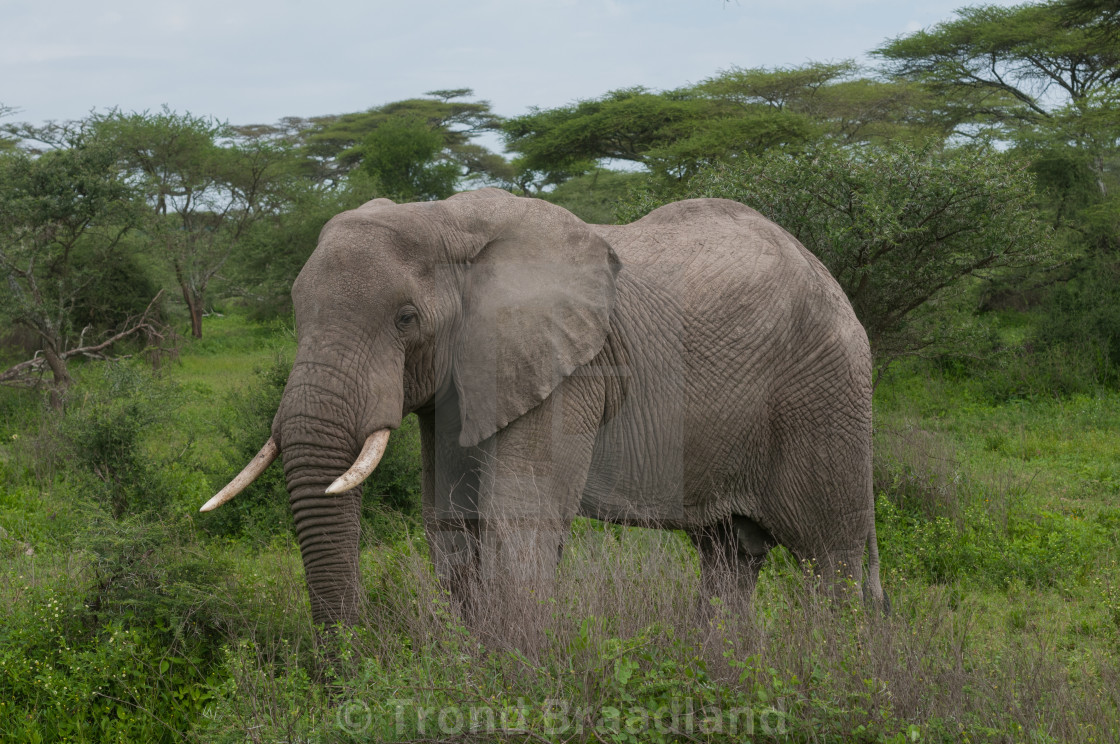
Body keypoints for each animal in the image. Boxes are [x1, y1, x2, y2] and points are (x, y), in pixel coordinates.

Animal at [201, 187, 882, 627]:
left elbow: (517, 524)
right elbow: (452, 528)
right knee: (729, 555)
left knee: (830, 558)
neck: (445, 218)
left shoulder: (570, 373)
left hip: (824, 392)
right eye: (295, 311)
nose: (346, 661)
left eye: (405, 318)